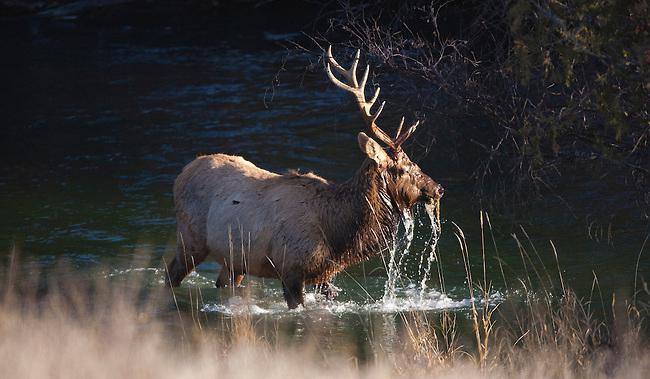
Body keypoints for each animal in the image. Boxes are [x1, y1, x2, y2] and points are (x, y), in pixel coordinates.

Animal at [165, 46, 442, 308]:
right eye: (404, 167)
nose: (438, 188)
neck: (337, 234)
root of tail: (183, 172)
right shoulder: (291, 269)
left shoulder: (324, 275)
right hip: (190, 239)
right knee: (170, 275)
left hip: (234, 260)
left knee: (222, 283)